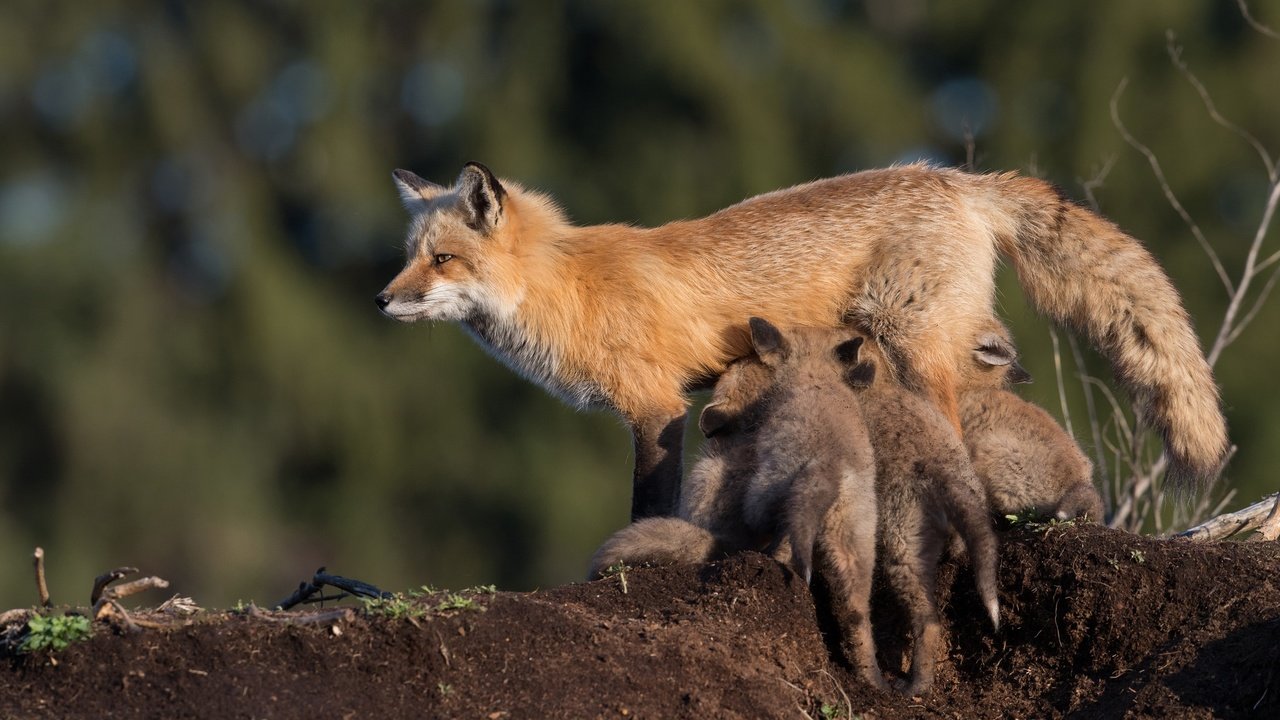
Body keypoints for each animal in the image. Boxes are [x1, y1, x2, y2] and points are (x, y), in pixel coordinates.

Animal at [376, 161, 1228, 515]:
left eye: (442, 261)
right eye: (409, 254)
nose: (382, 299)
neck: (569, 287)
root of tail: (955, 178)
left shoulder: (655, 407)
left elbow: (646, 502)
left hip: (912, 343)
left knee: (958, 432)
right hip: (948, 339)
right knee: (999, 367)